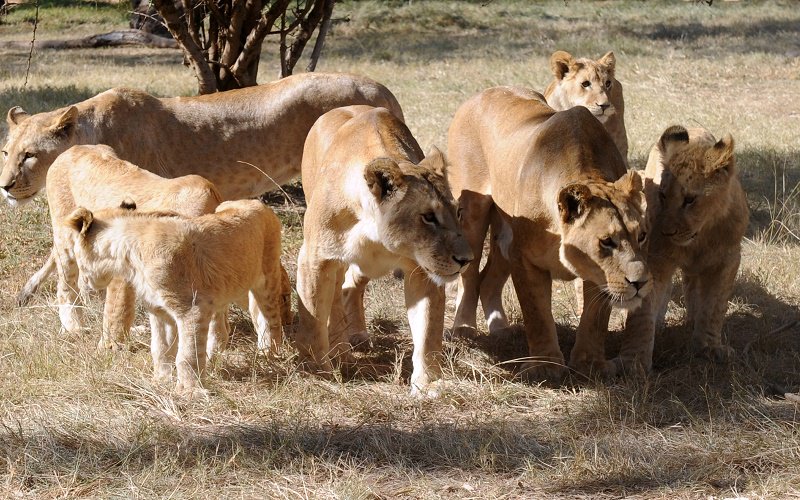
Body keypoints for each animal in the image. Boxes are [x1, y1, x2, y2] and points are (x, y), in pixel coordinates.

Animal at [60, 199, 286, 395]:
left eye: (75, 253)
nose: (84, 282)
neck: (128, 256)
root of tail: (258, 203)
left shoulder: (192, 308)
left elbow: (186, 355)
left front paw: (189, 392)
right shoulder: (160, 311)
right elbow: (160, 349)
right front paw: (159, 381)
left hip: (265, 279)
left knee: (271, 319)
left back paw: (270, 356)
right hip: (225, 287)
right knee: (221, 329)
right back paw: (213, 361)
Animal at [296, 105, 473, 396]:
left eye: (458, 212)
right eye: (428, 217)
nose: (466, 259)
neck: (374, 230)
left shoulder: (422, 272)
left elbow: (427, 331)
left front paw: (426, 385)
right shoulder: (315, 259)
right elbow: (313, 320)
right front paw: (317, 375)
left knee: (350, 287)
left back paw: (356, 337)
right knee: (335, 298)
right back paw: (342, 351)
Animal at [448, 86, 650, 380]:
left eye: (642, 236)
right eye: (606, 242)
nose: (641, 283)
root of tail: (482, 93)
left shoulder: (596, 272)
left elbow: (595, 318)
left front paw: (590, 364)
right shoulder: (524, 259)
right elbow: (537, 314)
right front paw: (545, 366)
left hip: (505, 236)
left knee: (488, 279)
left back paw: (502, 331)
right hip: (473, 213)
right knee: (470, 274)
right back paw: (463, 328)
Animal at [615, 126, 749, 374]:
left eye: (689, 199)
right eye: (663, 195)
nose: (666, 232)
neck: (700, 236)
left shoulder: (728, 259)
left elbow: (714, 307)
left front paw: (708, 347)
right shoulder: (655, 258)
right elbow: (643, 314)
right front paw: (634, 360)